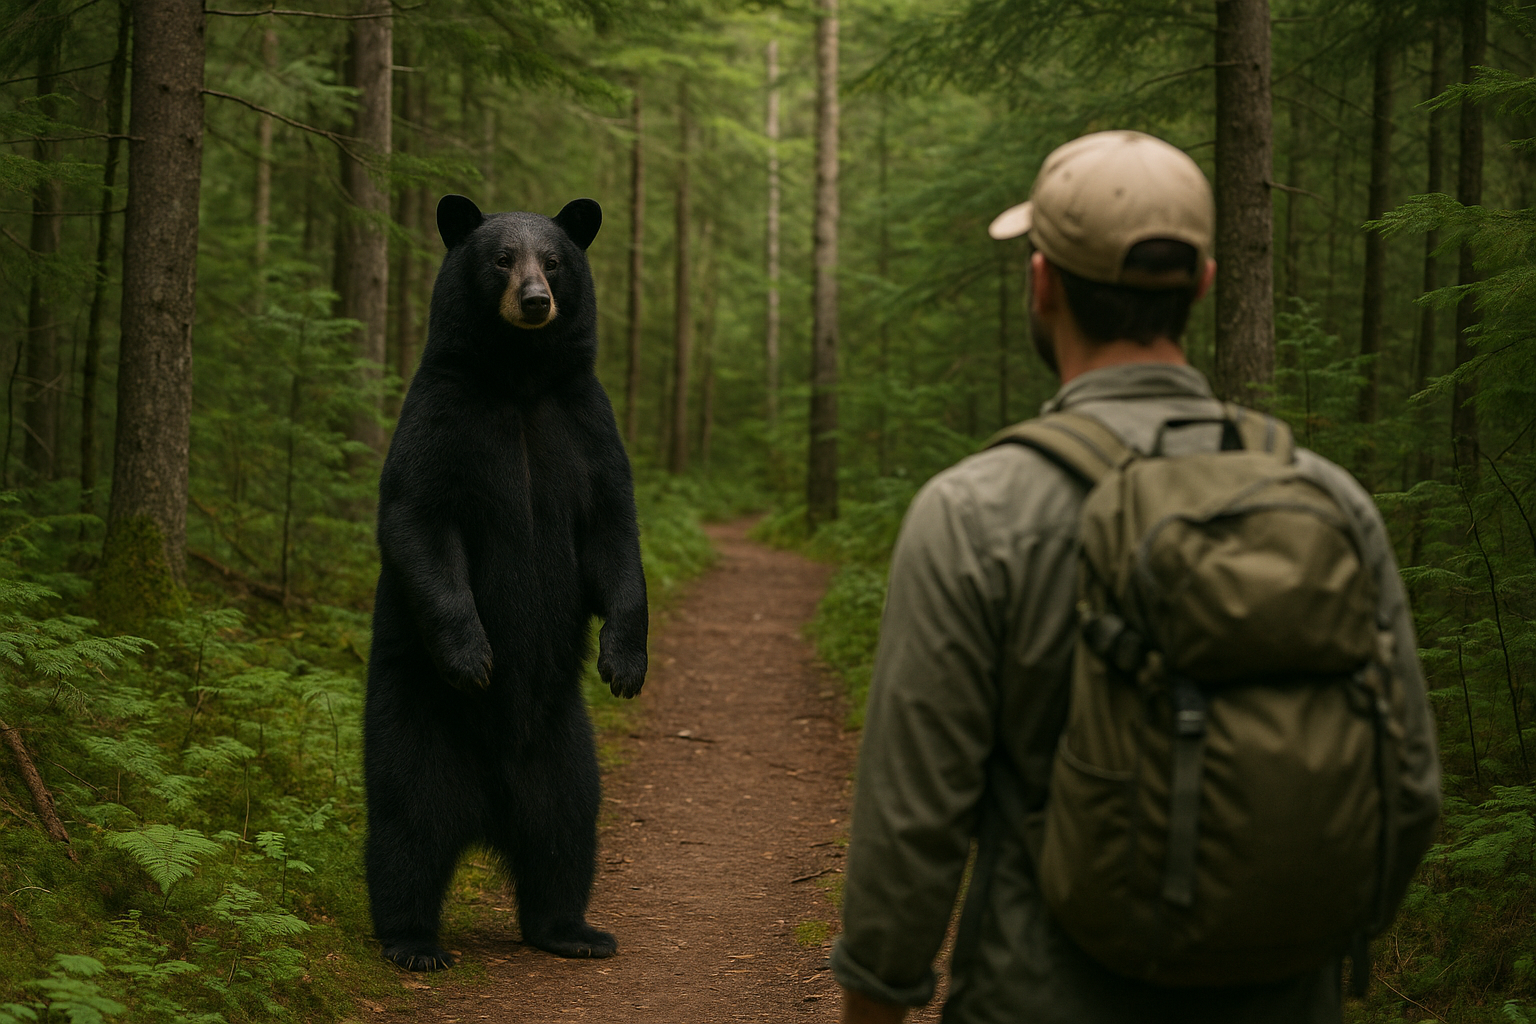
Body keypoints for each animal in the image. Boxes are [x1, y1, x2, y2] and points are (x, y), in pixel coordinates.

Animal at [363, 194, 648, 972]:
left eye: (552, 259)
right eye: (499, 258)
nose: (535, 300)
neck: (518, 380)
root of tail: (491, 809)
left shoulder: (585, 424)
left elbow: (613, 534)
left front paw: (624, 662)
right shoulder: (442, 417)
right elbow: (420, 520)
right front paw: (473, 657)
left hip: (564, 743)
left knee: (567, 829)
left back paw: (574, 930)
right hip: (416, 722)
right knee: (407, 826)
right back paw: (413, 941)